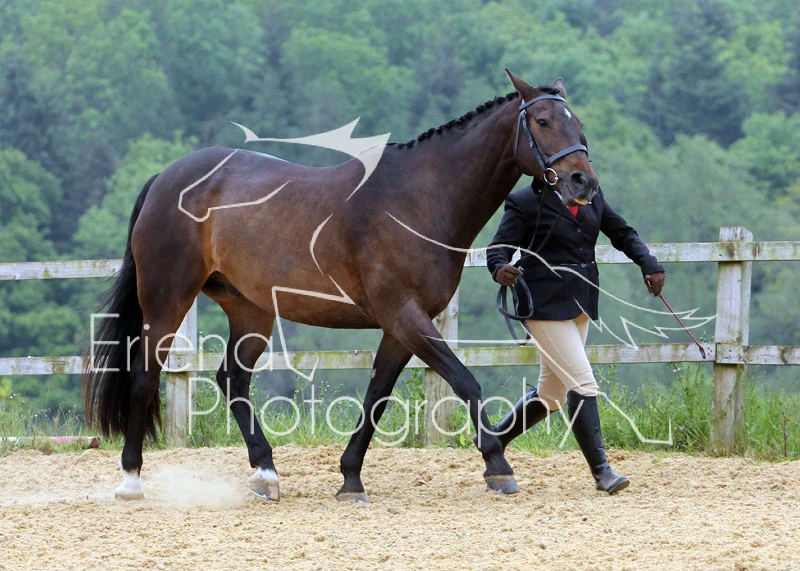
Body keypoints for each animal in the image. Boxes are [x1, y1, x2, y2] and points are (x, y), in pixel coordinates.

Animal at [83, 69, 598, 503]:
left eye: (579, 124)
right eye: (544, 121)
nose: (582, 182)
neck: (419, 200)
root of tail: (164, 179)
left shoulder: (400, 326)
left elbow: (376, 397)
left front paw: (351, 478)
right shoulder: (404, 316)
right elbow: (464, 379)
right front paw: (497, 465)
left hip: (250, 310)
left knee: (233, 379)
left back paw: (265, 473)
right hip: (168, 300)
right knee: (146, 375)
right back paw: (131, 480)